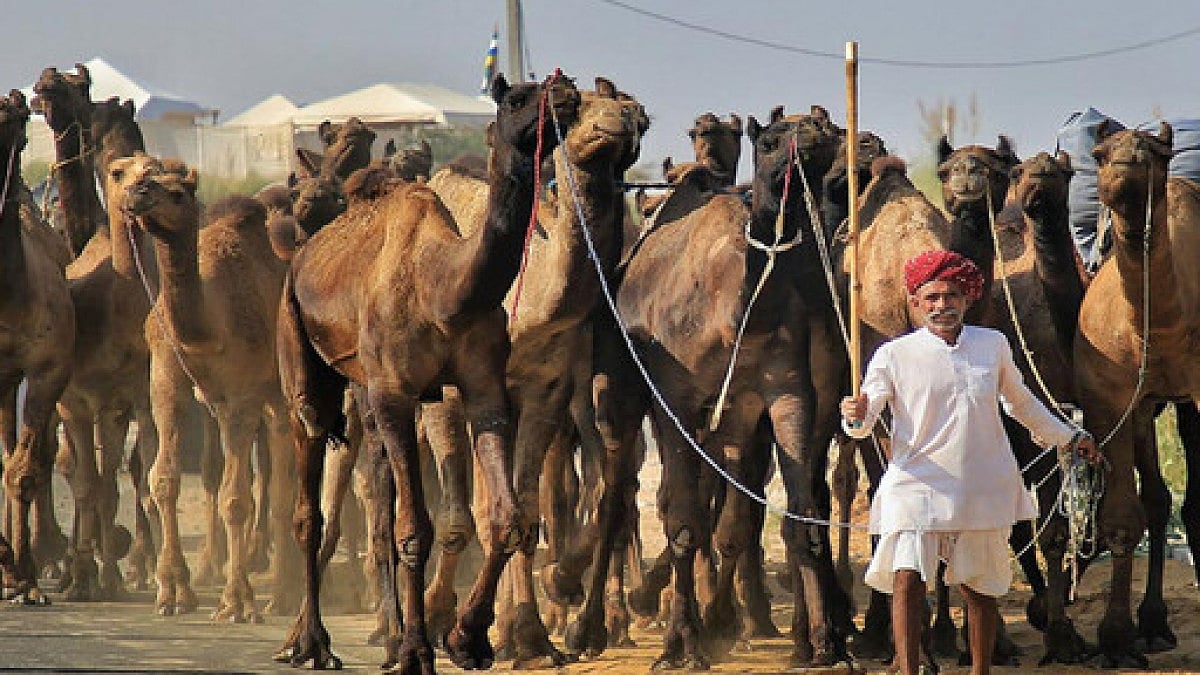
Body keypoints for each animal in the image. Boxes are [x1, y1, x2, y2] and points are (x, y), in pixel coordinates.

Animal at [273, 71, 581, 673]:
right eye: (518, 97)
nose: (568, 93)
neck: (445, 287)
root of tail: (301, 255)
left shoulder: (480, 386)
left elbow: (507, 518)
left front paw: (468, 638)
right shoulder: (397, 391)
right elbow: (416, 527)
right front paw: (419, 650)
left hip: (364, 388)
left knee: (376, 499)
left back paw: (384, 634)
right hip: (300, 346)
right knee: (311, 493)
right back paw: (311, 642)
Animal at [587, 104, 850, 669]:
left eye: (826, 132)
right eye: (770, 140)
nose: (812, 135)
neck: (737, 307)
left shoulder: (786, 393)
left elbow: (800, 515)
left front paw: (823, 644)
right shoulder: (677, 399)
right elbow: (685, 521)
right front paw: (682, 644)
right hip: (622, 393)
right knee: (618, 495)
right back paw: (591, 628)